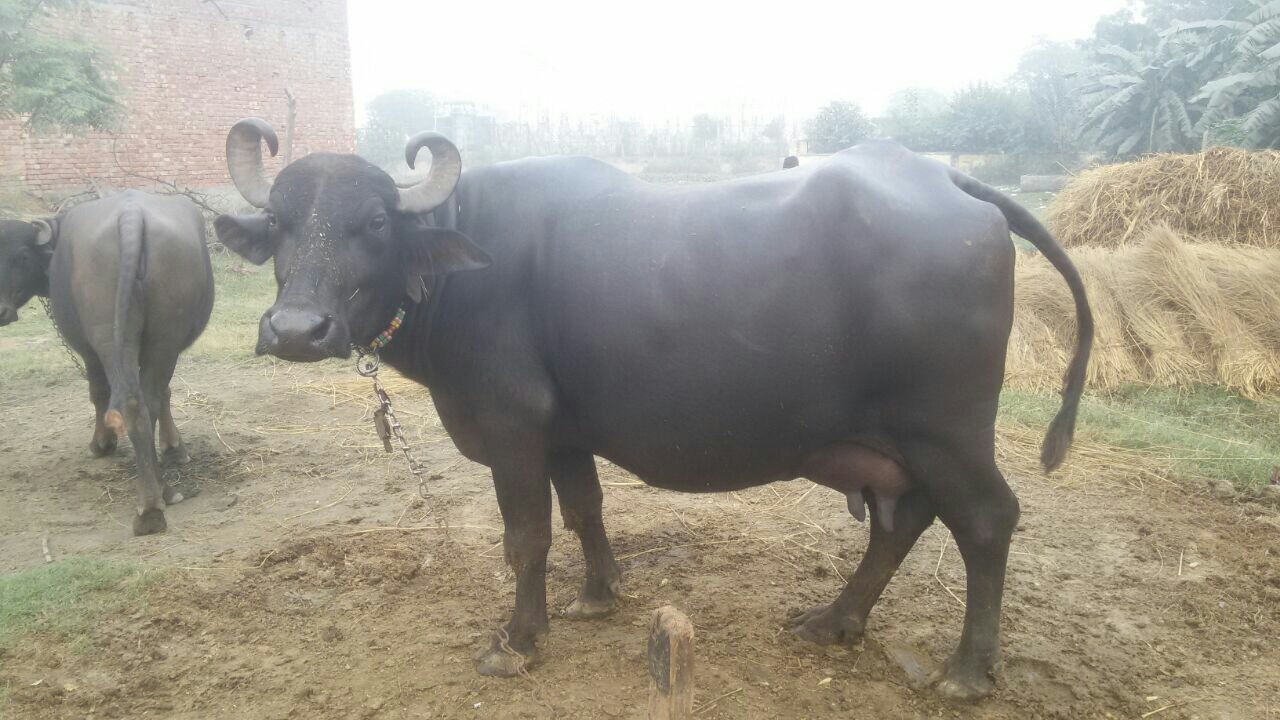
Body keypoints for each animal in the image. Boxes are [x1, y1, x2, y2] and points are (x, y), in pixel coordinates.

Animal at [0, 191, 214, 535]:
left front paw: (101, 444)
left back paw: (149, 506)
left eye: (21, 256)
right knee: (146, 401)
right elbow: (167, 394)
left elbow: (97, 393)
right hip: (162, 338)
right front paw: (173, 447)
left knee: (126, 401)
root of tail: (130, 217)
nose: (1, 311)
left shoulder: (89, 353)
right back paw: (162, 491)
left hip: (106, 338)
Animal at [214, 118, 1091, 700]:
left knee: (984, 521)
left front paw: (517, 639)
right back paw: (833, 621)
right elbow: (585, 510)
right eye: (281, 223)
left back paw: (966, 672)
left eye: (371, 223)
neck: (462, 269)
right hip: (898, 442)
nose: (296, 330)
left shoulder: (512, 427)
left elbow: (526, 537)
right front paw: (599, 595)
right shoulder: (563, 433)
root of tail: (946, 181)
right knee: (900, 520)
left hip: (947, 430)